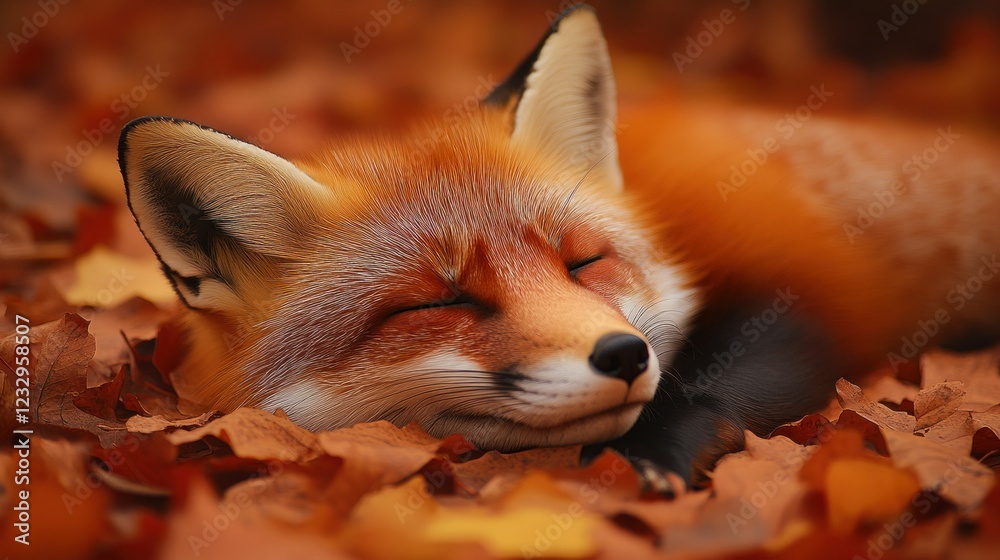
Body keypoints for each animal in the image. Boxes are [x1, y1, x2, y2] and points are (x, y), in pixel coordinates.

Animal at [118, 6, 1000, 487]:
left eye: (584, 262)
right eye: (442, 300)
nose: (623, 355)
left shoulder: (800, 282)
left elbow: (706, 378)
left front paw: (651, 450)